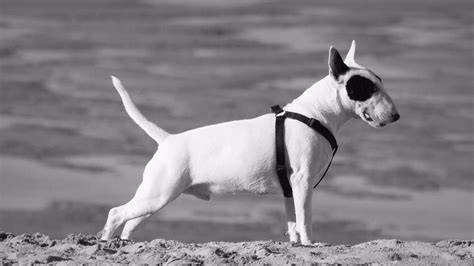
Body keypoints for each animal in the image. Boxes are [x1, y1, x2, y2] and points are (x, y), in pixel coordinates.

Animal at [100, 40, 400, 244]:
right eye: (367, 87)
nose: (396, 116)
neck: (316, 114)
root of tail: (168, 140)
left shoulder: (290, 188)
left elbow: (293, 221)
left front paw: (296, 244)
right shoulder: (303, 181)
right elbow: (305, 219)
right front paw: (310, 244)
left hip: (155, 197)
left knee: (130, 223)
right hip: (159, 193)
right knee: (116, 213)